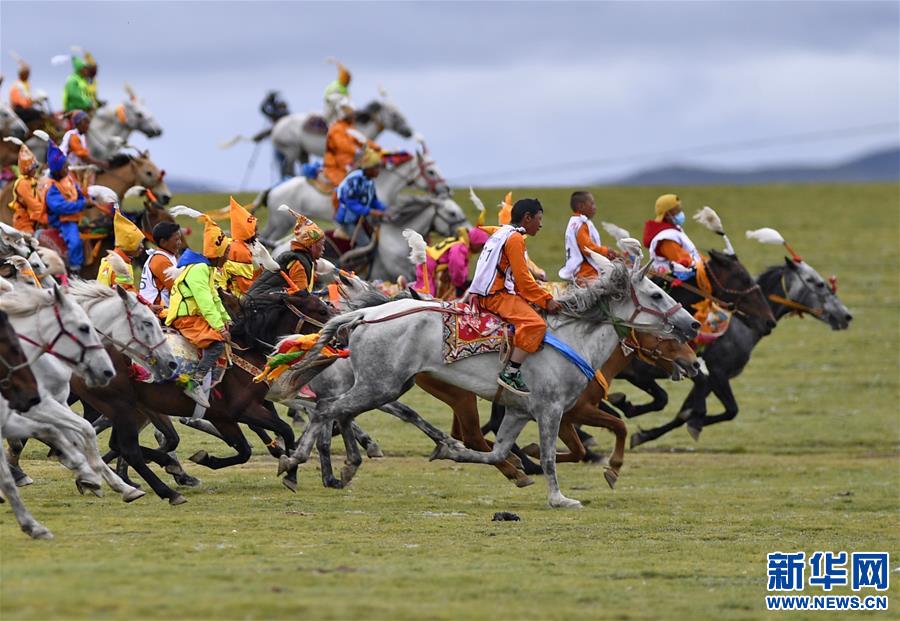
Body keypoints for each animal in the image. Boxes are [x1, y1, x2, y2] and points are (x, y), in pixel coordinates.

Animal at [278, 254, 700, 506]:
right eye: (656, 294)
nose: (693, 326)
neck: (572, 338)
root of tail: (366, 315)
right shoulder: (552, 411)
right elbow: (550, 456)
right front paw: (560, 497)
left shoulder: (519, 411)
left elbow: (495, 452)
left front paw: (453, 452)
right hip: (380, 386)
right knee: (328, 411)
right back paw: (296, 460)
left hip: (384, 386)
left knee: (339, 413)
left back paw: (339, 466)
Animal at [624, 256, 852, 446]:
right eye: (819, 283)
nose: (846, 316)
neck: (740, 326)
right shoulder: (717, 373)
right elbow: (724, 409)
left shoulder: (708, 376)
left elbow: (691, 411)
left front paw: (647, 432)